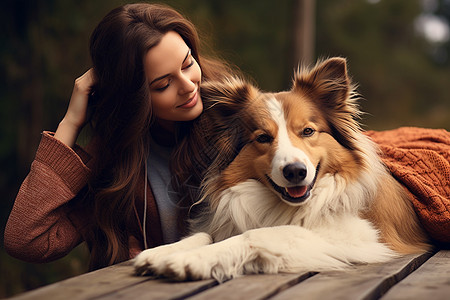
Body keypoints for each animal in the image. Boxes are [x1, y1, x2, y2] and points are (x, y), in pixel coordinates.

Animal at [134, 56, 432, 282]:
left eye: (308, 131)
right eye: (263, 138)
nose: (295, 172)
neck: (287, 206)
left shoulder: (361, 238)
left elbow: (261, 233)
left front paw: (189, 259)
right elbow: (207, 233)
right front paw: (164, 251)